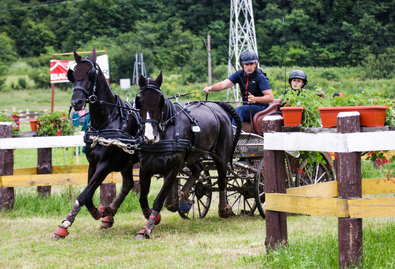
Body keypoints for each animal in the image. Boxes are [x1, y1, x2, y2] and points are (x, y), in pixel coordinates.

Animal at [50, 47, 141, 239]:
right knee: (128, 184)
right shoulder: (93, 164)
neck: (105, 122)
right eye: (73, 74)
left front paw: (65, 223)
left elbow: (84, 194)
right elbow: (88, 195)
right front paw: (99, 212)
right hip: (127, 162)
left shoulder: (105, 165)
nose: (76, 102)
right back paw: (110, 213)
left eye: (91, 74)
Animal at [135, 71, 243, 239]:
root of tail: (217, 106)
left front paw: (147, 228)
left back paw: (223, 209)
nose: (149, 137)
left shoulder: (172, 170)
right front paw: (154, 218)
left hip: (221, 154)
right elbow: (143, 198)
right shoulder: (145, 169)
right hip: (193, 153)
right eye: (139, 102)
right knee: (198, 168)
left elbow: (159, 200)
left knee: (222, 179)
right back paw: (185, 200)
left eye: (160, 102)